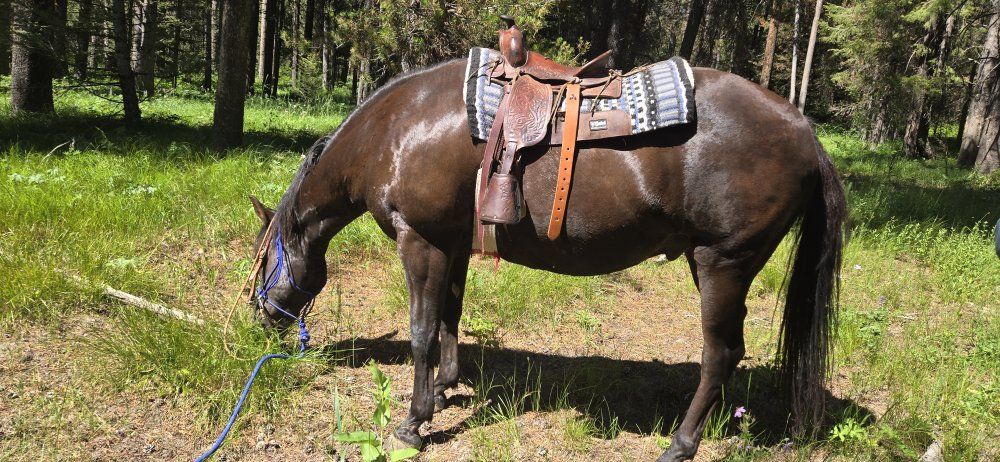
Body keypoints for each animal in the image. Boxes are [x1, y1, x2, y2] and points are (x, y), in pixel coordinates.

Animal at [247, 58, 846, 461]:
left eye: (261, 259)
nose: (261, 315)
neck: (396, 130)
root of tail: (807, 133)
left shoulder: (420, 241)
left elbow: (421, 331)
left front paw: (414, 422)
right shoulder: (454, 243)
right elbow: (448, 318)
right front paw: (444, 387)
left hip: (722, 263)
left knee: (720, 353)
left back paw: (681, 442)